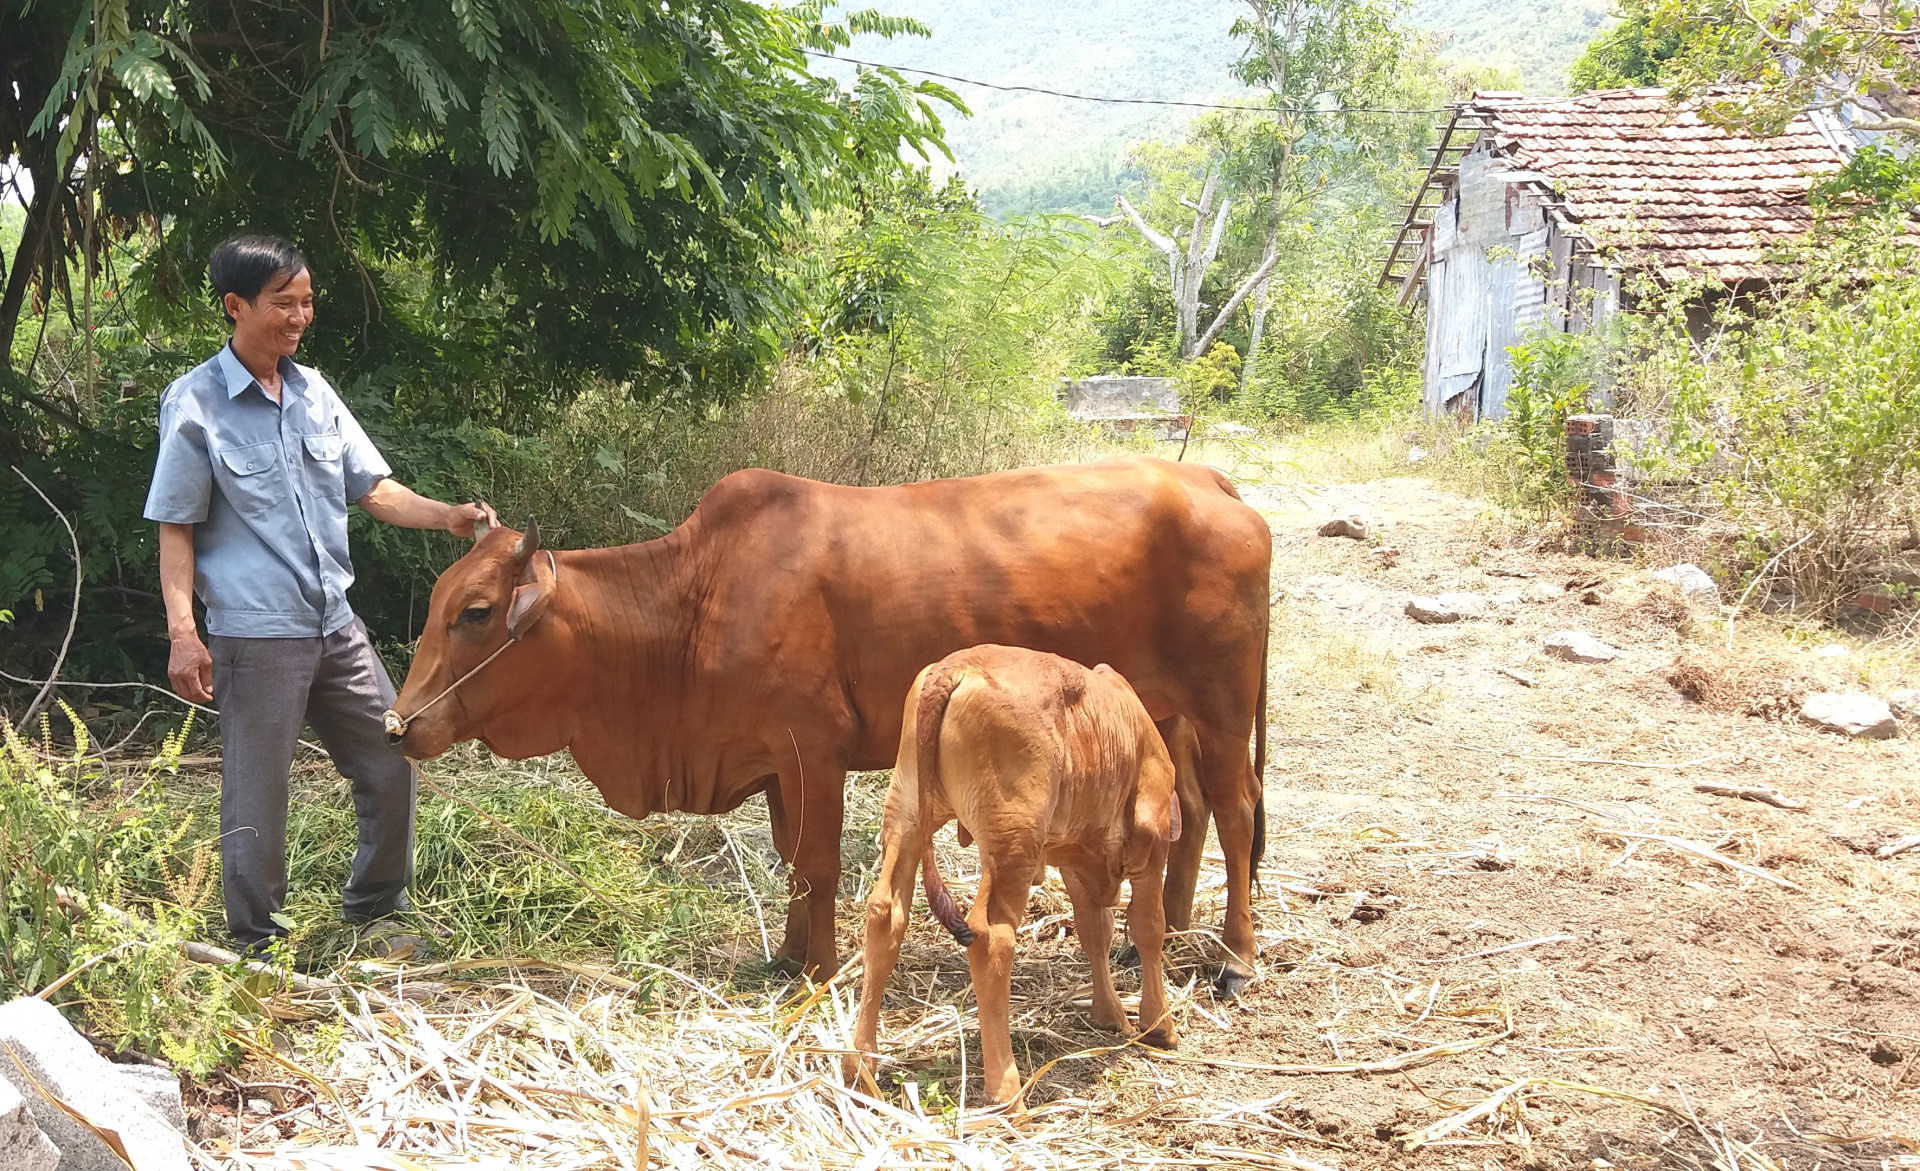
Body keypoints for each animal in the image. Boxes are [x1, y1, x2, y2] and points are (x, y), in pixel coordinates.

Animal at [380, 453, 1267, 982]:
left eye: (475, 611)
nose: (400, 724)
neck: (691, 600)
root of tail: (1207, 480)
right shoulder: (774, 759)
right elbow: (793, 864)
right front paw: (786, 953)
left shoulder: (814, 749)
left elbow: (819, 862)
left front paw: (818, 969)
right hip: (1165, 717)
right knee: (1184, 812)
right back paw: (1153, 935)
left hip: (1222, 709)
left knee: (1233, 814)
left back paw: (1234, 955)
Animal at [848, 637, 1175, 1105]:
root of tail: (958, 666)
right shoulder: (1153, 841)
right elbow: (1149, 929)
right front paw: (1159, 1024)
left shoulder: (1070, 859)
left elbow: (1095, 930)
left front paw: (1109, 1012)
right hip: (1012, 844)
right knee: (990, 940)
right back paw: (1007, 1089)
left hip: (906, 812)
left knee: (885, 914)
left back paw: (859, 1067)